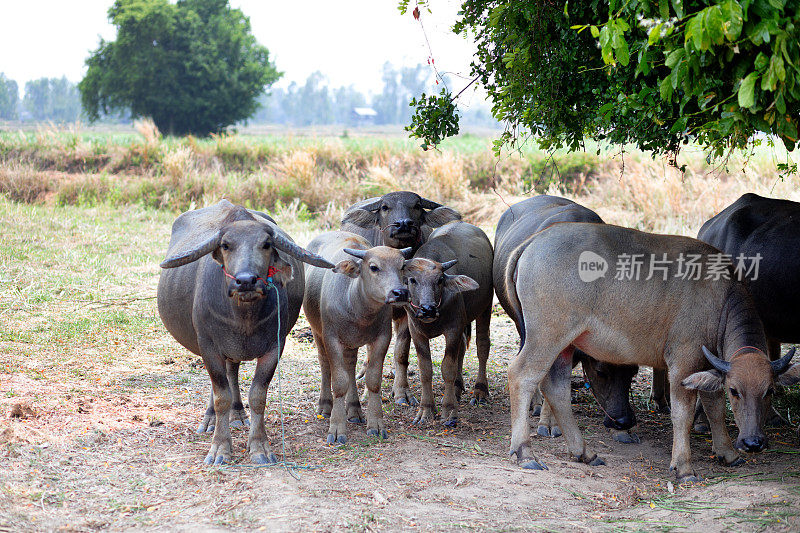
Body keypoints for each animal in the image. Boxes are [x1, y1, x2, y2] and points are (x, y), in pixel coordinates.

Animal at [158, 202, 332, 464]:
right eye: (226, 245)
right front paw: (219, 448)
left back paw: (238, 414)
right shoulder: (208, 346)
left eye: (266, 244)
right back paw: (210, 419)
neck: (244, 317)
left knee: (233, 371)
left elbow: (258, 396)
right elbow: (221, 396)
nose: (246, 280)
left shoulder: (274, 347)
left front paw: (260, 447)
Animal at [400, 219, 494, 424]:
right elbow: (425, 370)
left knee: (482, 345)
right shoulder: (416, 331)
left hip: (486, 306)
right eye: (412, 280)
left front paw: (449, 411)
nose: (427, 309)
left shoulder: (453, 328)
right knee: (462, 348)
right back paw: (458, 388)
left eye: (440, 280)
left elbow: (447, 368)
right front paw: (426, 410)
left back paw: (480, 391)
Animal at [506, 222, 800, 480]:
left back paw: (584, 453)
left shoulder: (710, 365)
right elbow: (682, 414)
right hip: (547, 335)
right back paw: (524, 452)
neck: (721, 301)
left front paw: (728, 453)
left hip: (565, 345)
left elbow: (715, 408)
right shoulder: (684, 361)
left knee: (556, 388)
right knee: (522, 375)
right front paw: (684, 467)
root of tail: (534, 241)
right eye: (735, 392)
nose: (753, 443)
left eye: (769, 390)